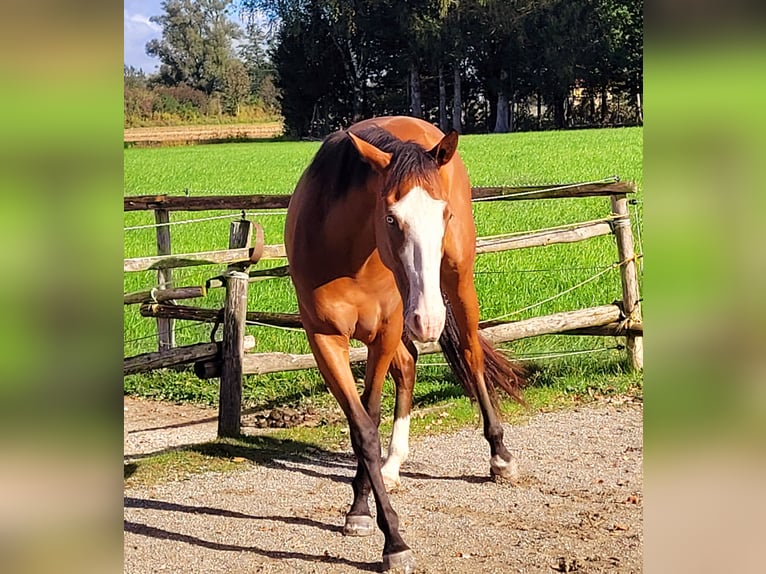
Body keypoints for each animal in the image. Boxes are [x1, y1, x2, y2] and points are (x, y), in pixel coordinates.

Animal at [284, 115, 524, 572]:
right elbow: (363, 428)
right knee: (410, 366)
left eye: (443, 213)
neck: (349, 256)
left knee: (471, 354)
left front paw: (388, 536)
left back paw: (500, 457)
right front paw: (369, 517)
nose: (428, 320)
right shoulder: (324, 339)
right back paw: (393, 464)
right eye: (392, 218)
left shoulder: (386, 329)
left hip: (453, 286)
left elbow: (372, 412)